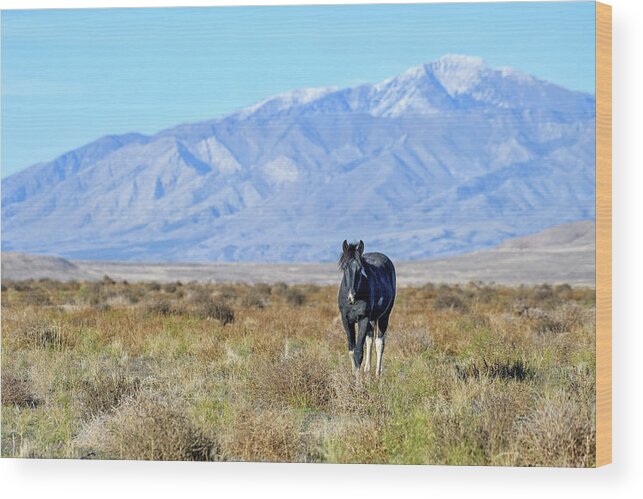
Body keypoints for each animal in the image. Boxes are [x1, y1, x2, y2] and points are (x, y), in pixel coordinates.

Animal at [340, 240, 394, 376]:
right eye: (344, 267)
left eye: (360, 268)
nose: (351, 296)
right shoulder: (346, 320)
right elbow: (352, 350)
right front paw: (354, 374)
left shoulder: (363, 319)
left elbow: (359, 352)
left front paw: (357, 380)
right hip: (372, 319)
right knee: (369, 340)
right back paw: (367, 369)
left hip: (384, 316)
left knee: (379, 343)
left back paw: (377, 374)